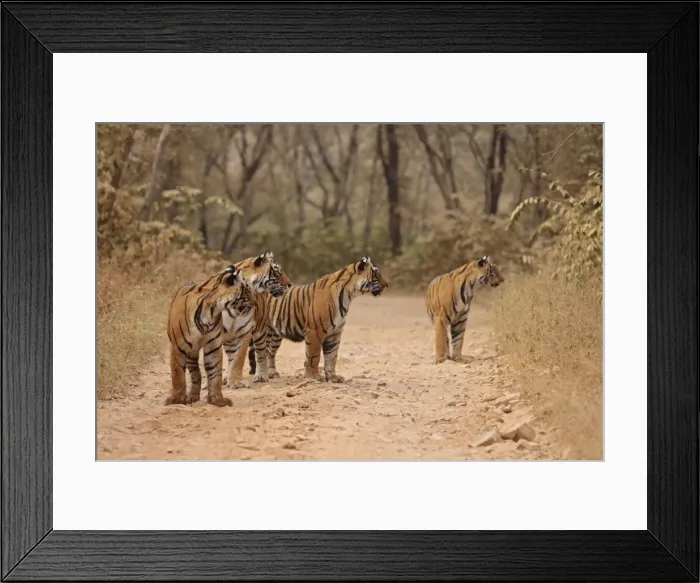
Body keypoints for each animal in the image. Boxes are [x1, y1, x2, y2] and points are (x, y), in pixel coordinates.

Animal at [166, 264, 253, 407]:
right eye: (247, 291)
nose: (254, 304)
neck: (211, 310)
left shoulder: (213, 345)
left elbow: (215, 373)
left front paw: (217, 400)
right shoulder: (178, 346)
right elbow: (177, 374)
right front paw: (176, 399)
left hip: (192, 351)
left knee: (196, 372)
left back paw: (194, 396)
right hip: (189, 350)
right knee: (194, 372)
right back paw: (191, 397)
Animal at [220, 251, 292, 389]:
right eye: (278, 273)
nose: (290, 284)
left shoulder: (245, 330)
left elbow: (239, 357)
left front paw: (236, 381)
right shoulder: (225, 332)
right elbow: (231, 358)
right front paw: (228, 378)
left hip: (270, 334)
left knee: (266, 353)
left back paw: (266, 374)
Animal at [249, 256, 389, 384]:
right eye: (377, 274)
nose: (387, 285)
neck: (349, 295)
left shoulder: (335, 333)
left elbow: (332, 356)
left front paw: (333, 377)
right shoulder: (315, 331)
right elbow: (314, 356)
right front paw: (313, 377)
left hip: (275, 335)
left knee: (269, 352)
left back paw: (272, 372)